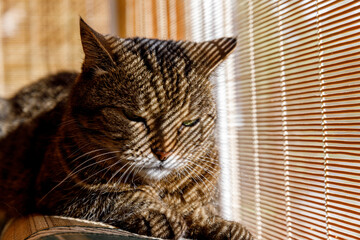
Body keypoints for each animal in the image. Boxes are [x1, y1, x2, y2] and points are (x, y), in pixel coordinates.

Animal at [0, 17, 253, 239]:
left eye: (189, 122)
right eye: (133, 117)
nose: (164, 153)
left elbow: (202, 210)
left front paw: (222, 225)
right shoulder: (57, 192)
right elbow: (116, 196)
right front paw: (158, 214)